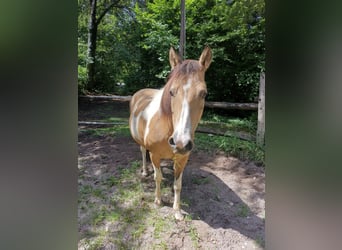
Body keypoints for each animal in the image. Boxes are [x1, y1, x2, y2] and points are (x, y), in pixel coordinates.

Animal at [130, 46, 212, 219]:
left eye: (204, 93)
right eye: (172, 92)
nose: (180, 143)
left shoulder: (182, 159)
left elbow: (178, 184)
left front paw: (177, 211)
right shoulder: (155, 155)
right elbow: (158, 177)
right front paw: (158, 201)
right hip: (141, 144)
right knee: (143, 152)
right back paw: (145, 171)